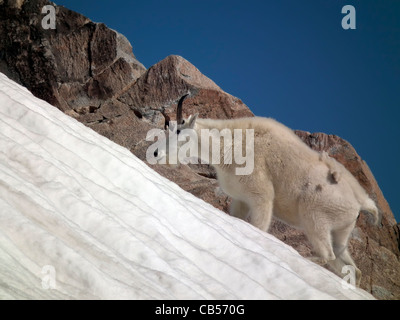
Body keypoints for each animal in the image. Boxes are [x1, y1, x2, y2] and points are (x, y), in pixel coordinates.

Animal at [152, 94, 378, 284]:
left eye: (179, 131)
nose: (155, 153)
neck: (230, 145)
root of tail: (361, 202)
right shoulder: (241, 200)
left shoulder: (262, 198)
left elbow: (259, 227)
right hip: (341, 232)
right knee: (349, 266)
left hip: (315, 217)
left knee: (327, 255)